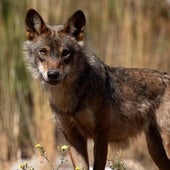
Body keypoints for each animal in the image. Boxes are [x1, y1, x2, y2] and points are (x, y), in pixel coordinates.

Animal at [24, 8, 170, 169]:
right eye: (43, 52)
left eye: (65, 53)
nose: (53, 75)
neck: (69, 101)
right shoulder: (72, 137)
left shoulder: (101, 134)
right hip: (156, 151)